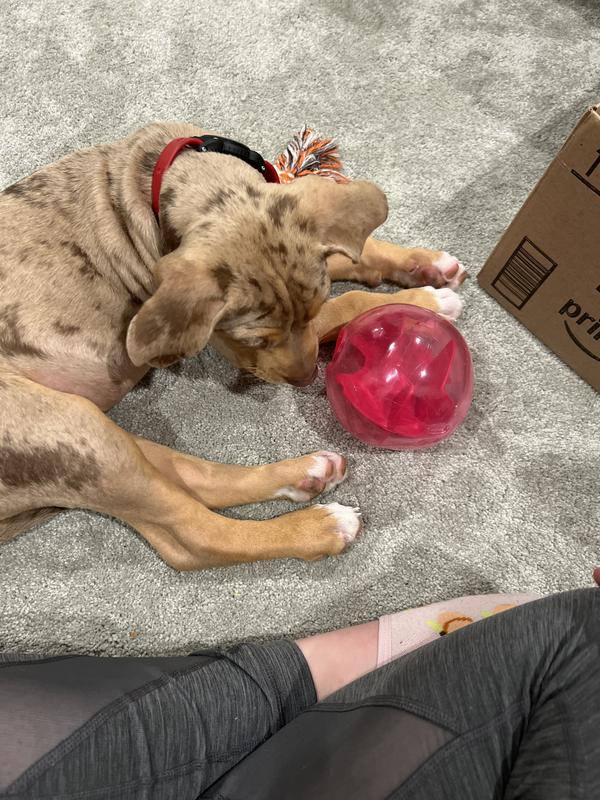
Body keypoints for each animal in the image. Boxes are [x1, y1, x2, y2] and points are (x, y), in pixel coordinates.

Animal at [0, 122, 466, 570]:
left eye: (312, 306)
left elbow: (352, 255)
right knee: (192, 538)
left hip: (81, 435)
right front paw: (427, 301)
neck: (158, 179)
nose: (307, 380)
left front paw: (424, 265)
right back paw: (318, 528)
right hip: (71, 430)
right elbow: (348, 301)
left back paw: (303, 475)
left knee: (190, 477)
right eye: (255, 340)